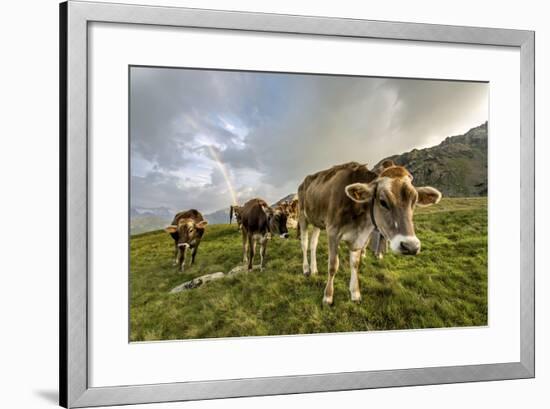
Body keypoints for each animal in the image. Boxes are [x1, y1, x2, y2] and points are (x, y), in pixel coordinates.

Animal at [300, 159, 442, 302]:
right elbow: (333, 265)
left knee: (313, 244)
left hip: (317, 222)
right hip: (303, 217)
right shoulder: (333, 232)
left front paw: (355, 293)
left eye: (414, 201)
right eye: (383, 201)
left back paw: (314, 269)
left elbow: (355, 264)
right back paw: (306, 269)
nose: (411, 246)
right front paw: (328, 296)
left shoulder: (360, 236)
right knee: (305, 244)